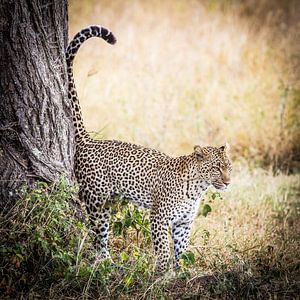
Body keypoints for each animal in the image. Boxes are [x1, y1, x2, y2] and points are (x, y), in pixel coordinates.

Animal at [65, 25, 232, 274]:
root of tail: (88, 141)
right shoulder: (159, 217)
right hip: (97, 202)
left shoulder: (184, 222)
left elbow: (181, 248)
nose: (228, 182)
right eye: (216, 168)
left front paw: (181, 270)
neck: (197, 188)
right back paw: (106, 262)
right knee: (99, 235)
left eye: (229, 167)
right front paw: (161, 272)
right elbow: (162, 248)